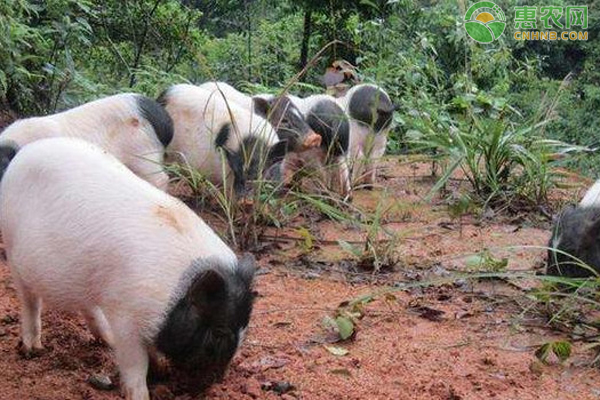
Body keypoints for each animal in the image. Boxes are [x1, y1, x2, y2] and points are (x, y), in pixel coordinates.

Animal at [0, 138, 255, 400]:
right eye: (218, 333)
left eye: (244, 330)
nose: (212, 385)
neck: (172, 295)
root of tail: (23, 152)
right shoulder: (126, 317)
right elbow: (135, 363)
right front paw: (141, 394)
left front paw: (161, 370)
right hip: (12, 251)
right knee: (29, 302)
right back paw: (33, 350)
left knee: (87, 307)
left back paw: (106, 341)